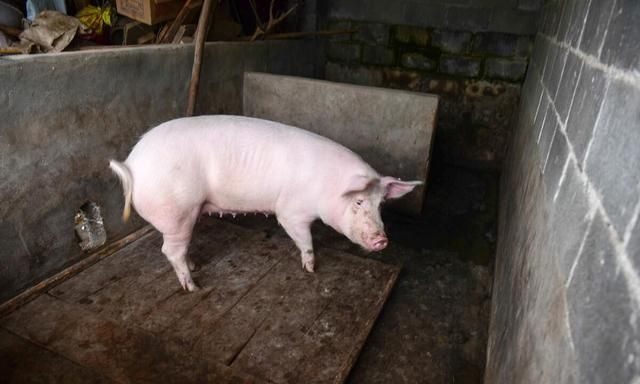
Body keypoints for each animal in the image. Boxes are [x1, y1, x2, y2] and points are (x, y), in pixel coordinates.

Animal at [110, 114, 420, 292]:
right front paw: (311, 269)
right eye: (357, 202)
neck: (326, 186)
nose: (382, 240)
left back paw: (195, 267)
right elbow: (305, 239)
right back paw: (193, 286)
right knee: (170, 251)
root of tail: (132, 164)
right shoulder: (290, 211)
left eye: (380, 204)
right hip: (178, 212)